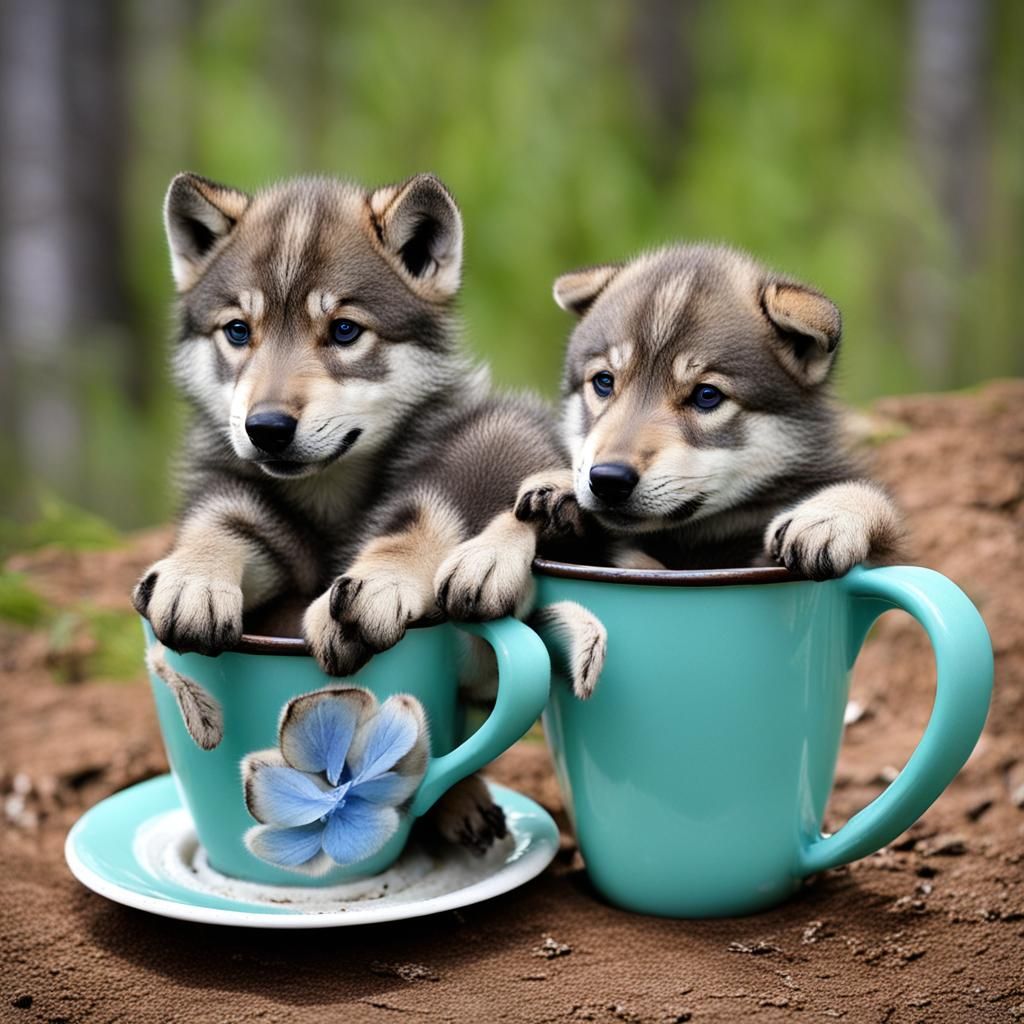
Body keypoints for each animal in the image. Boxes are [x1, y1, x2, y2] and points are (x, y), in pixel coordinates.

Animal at [132, 170, 568, 848]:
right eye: (238, 331)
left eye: (343, 331)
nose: (266, 428)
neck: (331, 496)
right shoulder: (237, 495)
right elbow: (226, 523)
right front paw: (194, 575)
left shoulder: (476, 440)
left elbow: (422, 510)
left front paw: (378, 582)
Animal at [436, 244, 904, 696]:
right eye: (604, 382)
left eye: (707, 396)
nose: (607, 480)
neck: (695, 536)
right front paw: (497, 544)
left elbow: (874, 501)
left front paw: (829, 516)